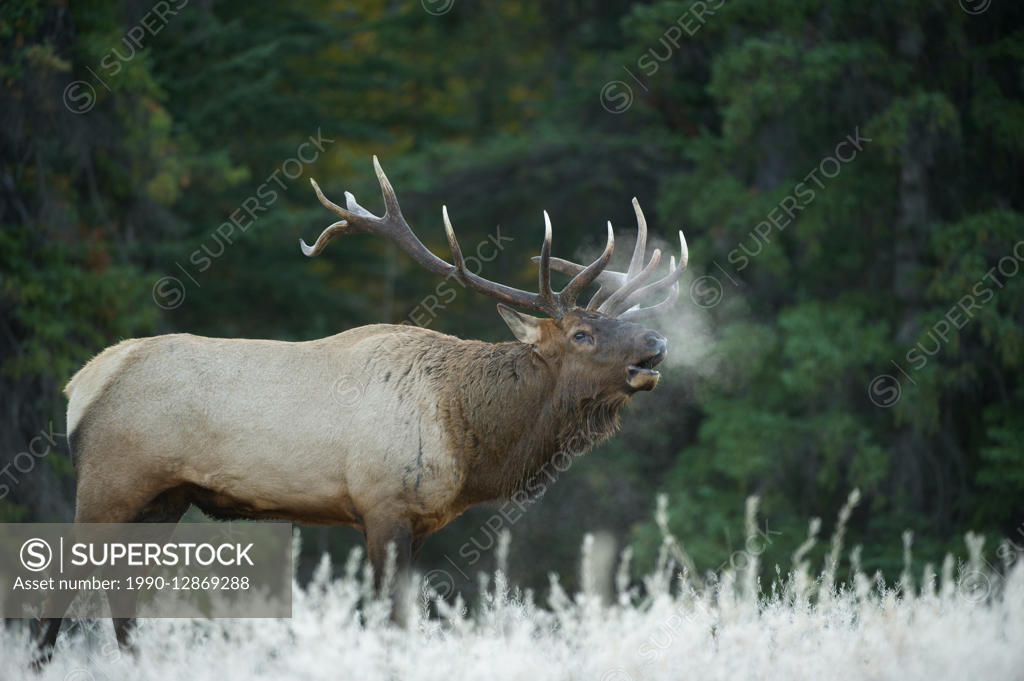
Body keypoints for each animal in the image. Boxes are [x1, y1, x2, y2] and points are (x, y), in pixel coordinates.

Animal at [33, 157, 688, 664]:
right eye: (581, 333)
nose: (656, 343)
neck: (464, 432)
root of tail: (80, 385)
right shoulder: (382, 504)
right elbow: (386, 620)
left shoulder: (420, 522)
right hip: (109, 482)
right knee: (61, 585)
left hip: (163, 497)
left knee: (123, 593)